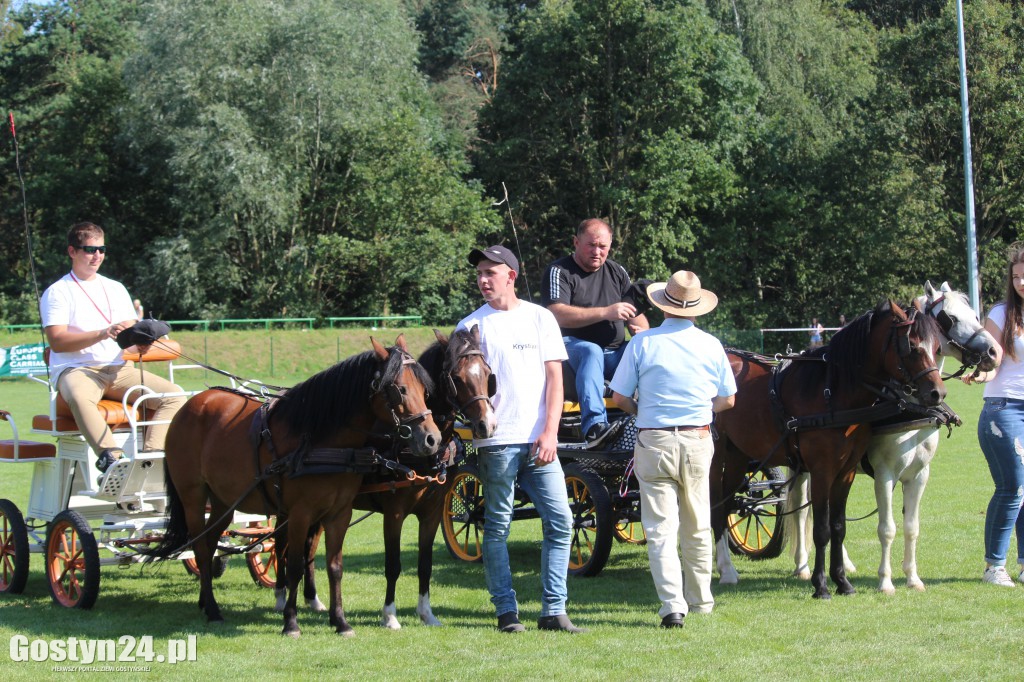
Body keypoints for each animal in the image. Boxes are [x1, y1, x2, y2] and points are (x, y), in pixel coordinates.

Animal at [147, 337, 436, 634]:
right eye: (400, 390)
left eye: (425, 389)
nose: (431, 439)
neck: (323, 441)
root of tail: (190, 404)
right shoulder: (300, 513)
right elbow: (295, 563)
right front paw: (291, 622)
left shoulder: (339, 512)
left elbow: (335, 566)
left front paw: (340, 621)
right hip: (193, 497)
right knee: (202, 550)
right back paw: (214, 609)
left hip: (223, 501)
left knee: (212, 540)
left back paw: (206, 601)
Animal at [272, 323, 495, 626]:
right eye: (457, 378)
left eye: (487, 373)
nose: (487, 424)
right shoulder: (394, 513)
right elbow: (393, 565)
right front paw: (389, 615)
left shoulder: (432, 512)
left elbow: (425, 565)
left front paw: (426, 613)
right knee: (280, 544)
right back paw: (281, 595)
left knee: (308, 548)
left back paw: (313, 598)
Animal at [712, 301, 942, 598]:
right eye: (911, 347)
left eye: (937, 347)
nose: (937, 393)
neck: (833, 392)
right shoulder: (824, 470)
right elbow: (822, 528)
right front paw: (821, 585)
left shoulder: (846, 472)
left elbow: (838, 525)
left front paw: (842, 581)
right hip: (715, 454)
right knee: (714, 505)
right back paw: (727, 570)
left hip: (738, 454)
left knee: (729, 502)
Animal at [753, 280, 999, 589]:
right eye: (950, 318)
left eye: (975, 315)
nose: (993, 352)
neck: (907, 406)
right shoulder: (885, 474)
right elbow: (887, 528)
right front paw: (886, 582)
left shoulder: (919, 475)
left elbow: (911, 527)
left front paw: (912, 578)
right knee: (801, 509)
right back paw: (802, 565)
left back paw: (843, 563)